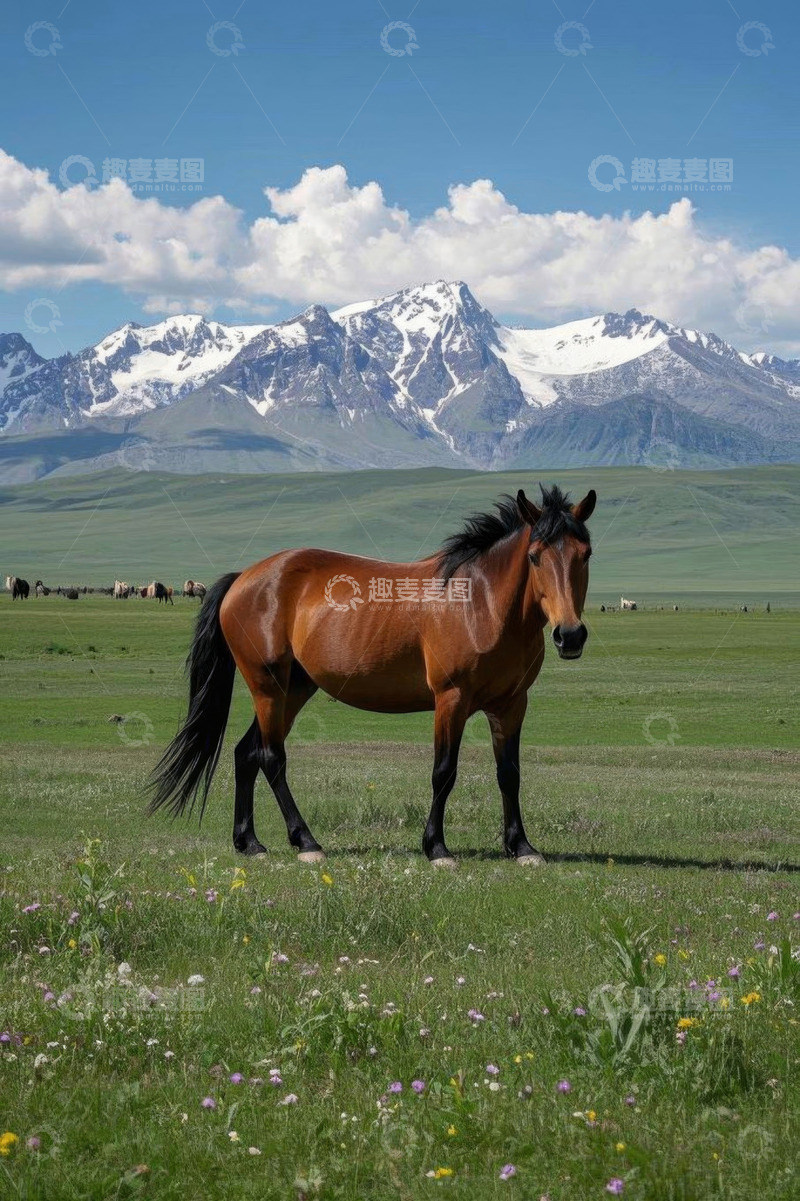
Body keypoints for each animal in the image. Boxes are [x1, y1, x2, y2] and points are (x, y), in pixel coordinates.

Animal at [149, 485, 596, 866]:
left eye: (586, 554)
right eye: (535, 555)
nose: (570, 634)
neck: (479, 603)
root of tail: (243, 578)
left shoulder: (511, 704)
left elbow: (509, 774)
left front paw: (521, 846)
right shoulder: (450, 699)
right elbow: (444, 772)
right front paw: (437, 848)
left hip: (294, 689)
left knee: (246, 753)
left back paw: (249, 842)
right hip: (268, 687)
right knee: (271, 757)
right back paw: (306, 842)